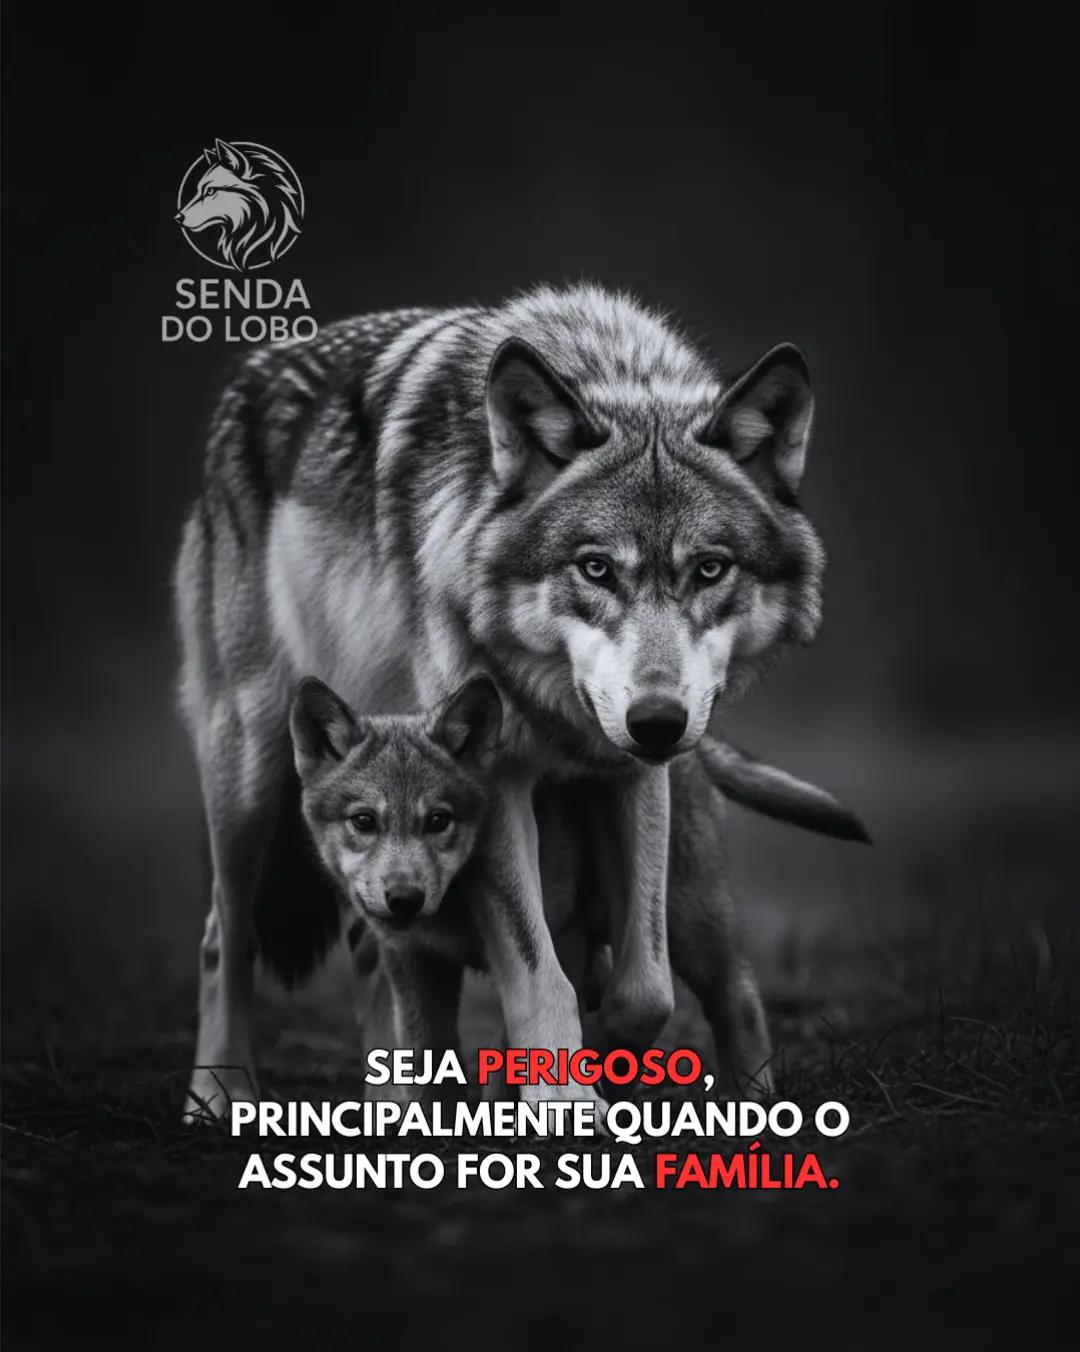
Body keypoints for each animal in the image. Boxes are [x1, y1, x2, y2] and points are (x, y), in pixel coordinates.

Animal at [175, 285, 829, 1118]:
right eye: (595, 569)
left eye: (710, 570)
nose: (657, 722)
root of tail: (247, 376)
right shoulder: (498, 782)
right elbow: (540, 973)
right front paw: (562, 1100)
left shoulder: (630, 776)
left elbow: (644, 989)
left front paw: (580, 1062)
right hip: (248, 778)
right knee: (224, 937)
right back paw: (217, 1092)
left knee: (376, 952)